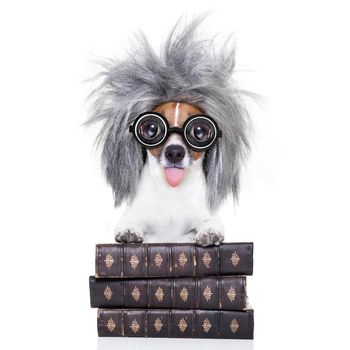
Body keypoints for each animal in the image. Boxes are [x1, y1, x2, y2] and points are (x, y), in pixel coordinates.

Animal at [87, 16, 252, 246]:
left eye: (199, 130)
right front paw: (129, 233)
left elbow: (210, 224)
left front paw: (209, 233)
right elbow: (128, 224)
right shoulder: (131, 215)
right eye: (151, 128)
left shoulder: (209, 216)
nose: (175, 152)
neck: (172, 194)